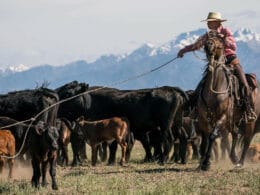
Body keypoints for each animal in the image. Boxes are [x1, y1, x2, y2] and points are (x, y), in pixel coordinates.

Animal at [197, 32, 256, 171]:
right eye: (207, 38)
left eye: (219, 39)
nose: (209, 45)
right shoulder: (204, 118)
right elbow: (206, 138)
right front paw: (202, 162)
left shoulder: (222, 116)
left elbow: (213, 135)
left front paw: (206, 163)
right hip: (233, 120)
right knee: (234, 134)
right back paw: (234, 157)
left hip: (248, 122)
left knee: (246, 140)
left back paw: (239, 162)